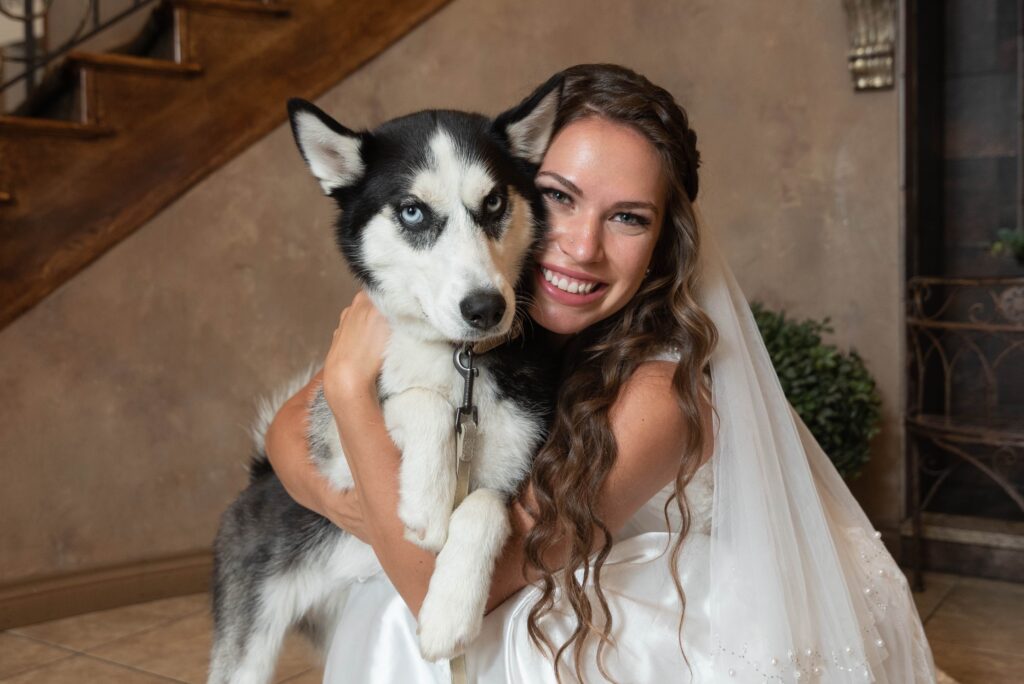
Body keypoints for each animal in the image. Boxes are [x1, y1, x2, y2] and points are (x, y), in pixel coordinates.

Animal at [206, 78, 561, 684]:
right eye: (413, 211)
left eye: (493, 202)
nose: (486, 308)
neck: (458, 362)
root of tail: (259, 476)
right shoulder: (338, 454)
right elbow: (420, 403)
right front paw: (426, 501)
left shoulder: (512, 475)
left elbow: (483, 506)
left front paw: (449, 612)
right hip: (247, 646)